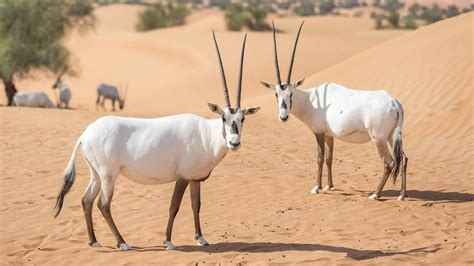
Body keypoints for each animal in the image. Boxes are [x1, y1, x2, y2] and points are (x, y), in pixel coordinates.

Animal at [54, 32, 262, 250]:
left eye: (242, 118)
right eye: (223, 118)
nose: (234, 143)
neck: (205, 134)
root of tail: (85, 134)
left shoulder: (194, 179)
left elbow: (195, 205)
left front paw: (201, 239)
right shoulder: (183, 177)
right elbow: (174, 206)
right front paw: (168, 241)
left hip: (96, 174)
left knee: (86, 200)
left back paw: (94, 241)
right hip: (108, 174)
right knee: (103, 204)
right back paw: (122, 243)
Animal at [262, 21, 410, 201]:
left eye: (290, 94)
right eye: (276, 94)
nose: (283, 117)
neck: (311, 99)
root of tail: (394, 103)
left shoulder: (318, 133)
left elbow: (319, 158)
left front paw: (316, 187)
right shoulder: (329, 135)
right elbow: (329, 158)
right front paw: (329, 185)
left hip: (378, 138)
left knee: (389, 163)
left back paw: (375, 194)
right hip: (392, 135)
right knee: (403, 159)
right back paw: (402, 195)